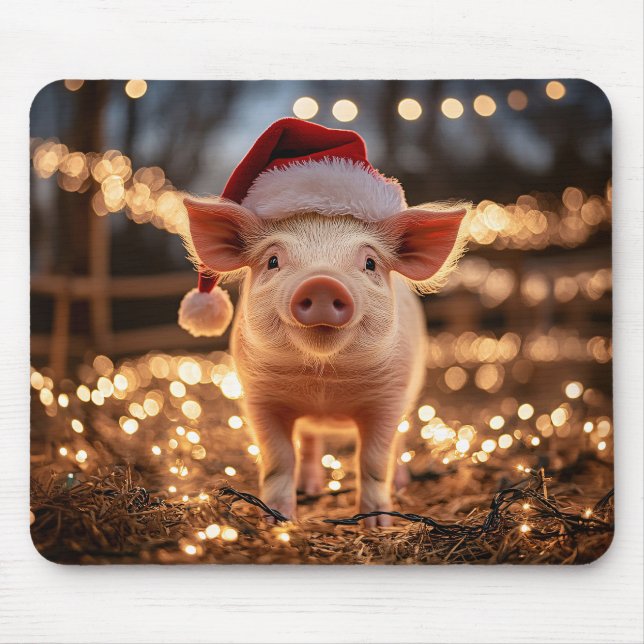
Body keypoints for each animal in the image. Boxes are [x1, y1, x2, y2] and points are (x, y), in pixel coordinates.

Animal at [184, 197, 467, 526]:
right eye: (273, 261)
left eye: (370, 263)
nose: (321, 283)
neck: (323, 385)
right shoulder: (258, 399)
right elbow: (279, 458)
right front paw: (276, 521)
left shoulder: (389, 398)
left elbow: (373, 460)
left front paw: (377, 525)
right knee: (309, 442)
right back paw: (309, 488)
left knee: (399, 441)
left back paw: (400, 484)